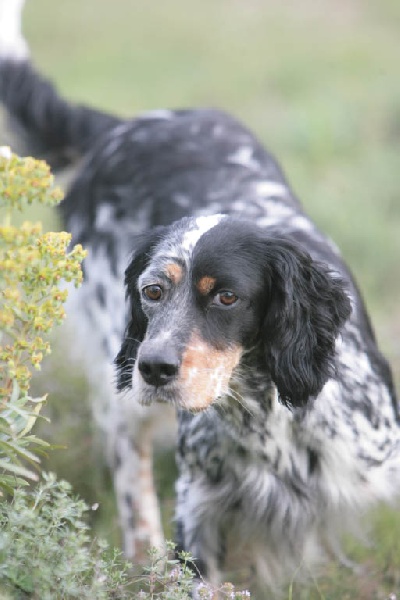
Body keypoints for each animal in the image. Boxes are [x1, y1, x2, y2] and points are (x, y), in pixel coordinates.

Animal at [0, 0, 400, 592]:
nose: (155, 368)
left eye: (227, 297)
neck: (267, 419)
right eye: (152, 291)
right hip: (121, 398)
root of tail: (127, 125)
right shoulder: (200, 512)